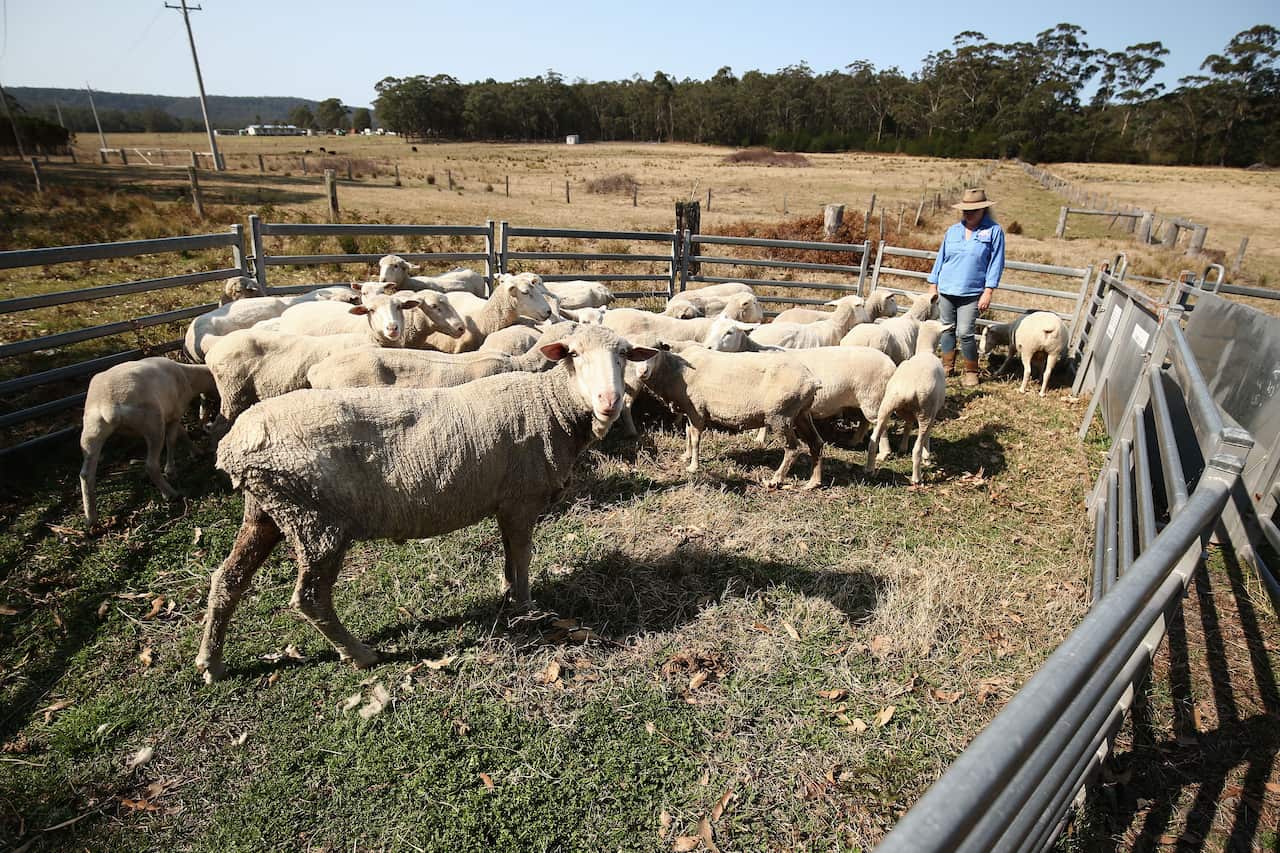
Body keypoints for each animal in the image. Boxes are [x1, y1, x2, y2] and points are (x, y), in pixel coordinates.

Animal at [79, 358, 216, 528]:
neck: (189, 377)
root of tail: (109, 407)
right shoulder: (174, 413)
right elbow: (173, 439)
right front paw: (171, 470)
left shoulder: (171, 415)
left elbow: (183, 434)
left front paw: (196, 451)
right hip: (152, 422)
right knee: (151, 464)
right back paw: (170, 493)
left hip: (91, 431)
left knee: (86, 475)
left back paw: (91, 518)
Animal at [194, 325, 657, 681]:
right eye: (574, 355)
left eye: (624, 356)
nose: (609, 402)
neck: (550, 406)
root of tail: (233, 448)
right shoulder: (522, 499)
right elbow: (523, 556)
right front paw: (526, 608)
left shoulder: (506, 503)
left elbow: (510, 554)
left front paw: (508, 592)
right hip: (316, 522)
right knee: (310, 598)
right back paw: (359, 654)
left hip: (268, 511)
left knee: (227, 580)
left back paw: (211, 663)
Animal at [634, 344, 824, 488]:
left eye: (656, 352)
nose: (642, 372)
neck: (676, 371)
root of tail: (812, 381)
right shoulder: (689, 409)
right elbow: (688, 433)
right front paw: (685, 456)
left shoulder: (697, 409)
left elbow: (695, 438)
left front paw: (693, 467)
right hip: (801, 413)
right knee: (816, 442)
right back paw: (813, 483)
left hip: (780, 415)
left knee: (793, 448)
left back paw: (775, 480)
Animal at [870, 319, 952, 485]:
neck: (925, 351)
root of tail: (907, 388)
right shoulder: (933, 412)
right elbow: (927, 436)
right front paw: (927, 457)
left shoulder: (909, 413)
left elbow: (907, 426)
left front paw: (902, 447)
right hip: (926, 411)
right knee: (917, 449)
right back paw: (917, 478)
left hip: (887, 406)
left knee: (873, 441)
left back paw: (869, 469)